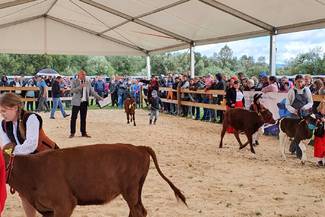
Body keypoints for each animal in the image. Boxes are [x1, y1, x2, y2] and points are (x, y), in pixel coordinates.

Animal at [2, 143, 186, 216]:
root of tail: (138, 147)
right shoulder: (47, 209)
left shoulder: (64, 203)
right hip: (136, 190)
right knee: (140, 211)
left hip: (130, 190)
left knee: (137, 212)